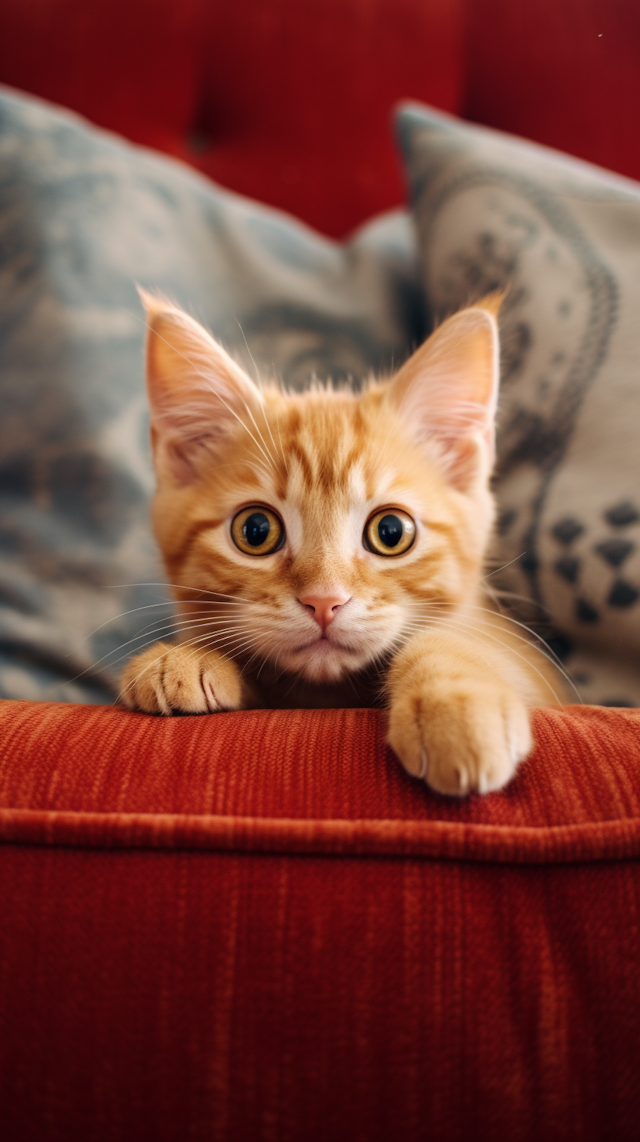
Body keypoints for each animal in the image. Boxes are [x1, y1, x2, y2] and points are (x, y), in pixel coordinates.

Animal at [121, 292, 564, 794]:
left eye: (391, 532)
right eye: (255, 530)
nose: (323, 601)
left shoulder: (527, 665)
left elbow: (453, 641)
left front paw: (457, 706)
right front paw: (186, 657)